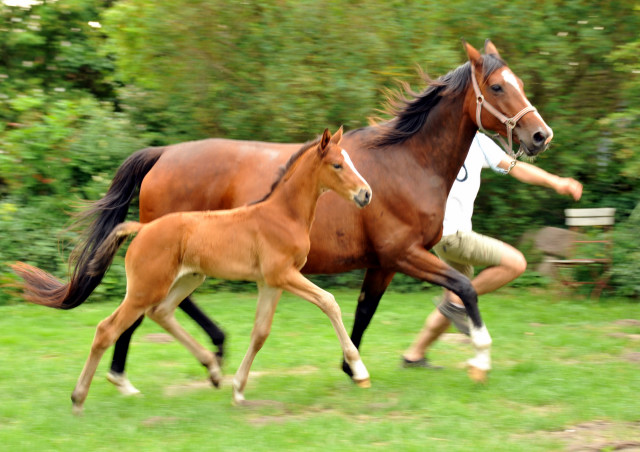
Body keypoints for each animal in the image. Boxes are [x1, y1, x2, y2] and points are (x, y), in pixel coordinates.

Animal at [12, 127, 372, 414]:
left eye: (351, 161)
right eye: (337, 164)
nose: (366, 194)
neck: (282, 215)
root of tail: (142, 228)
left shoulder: (269, 283)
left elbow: (259, 333)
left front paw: (238, 390)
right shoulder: (283, 275)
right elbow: (329, 301)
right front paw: (358, 370)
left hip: (187, 279)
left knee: (161, 313)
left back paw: (212, 368)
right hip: (146, 287)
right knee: (108, 328)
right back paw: (79, 398)